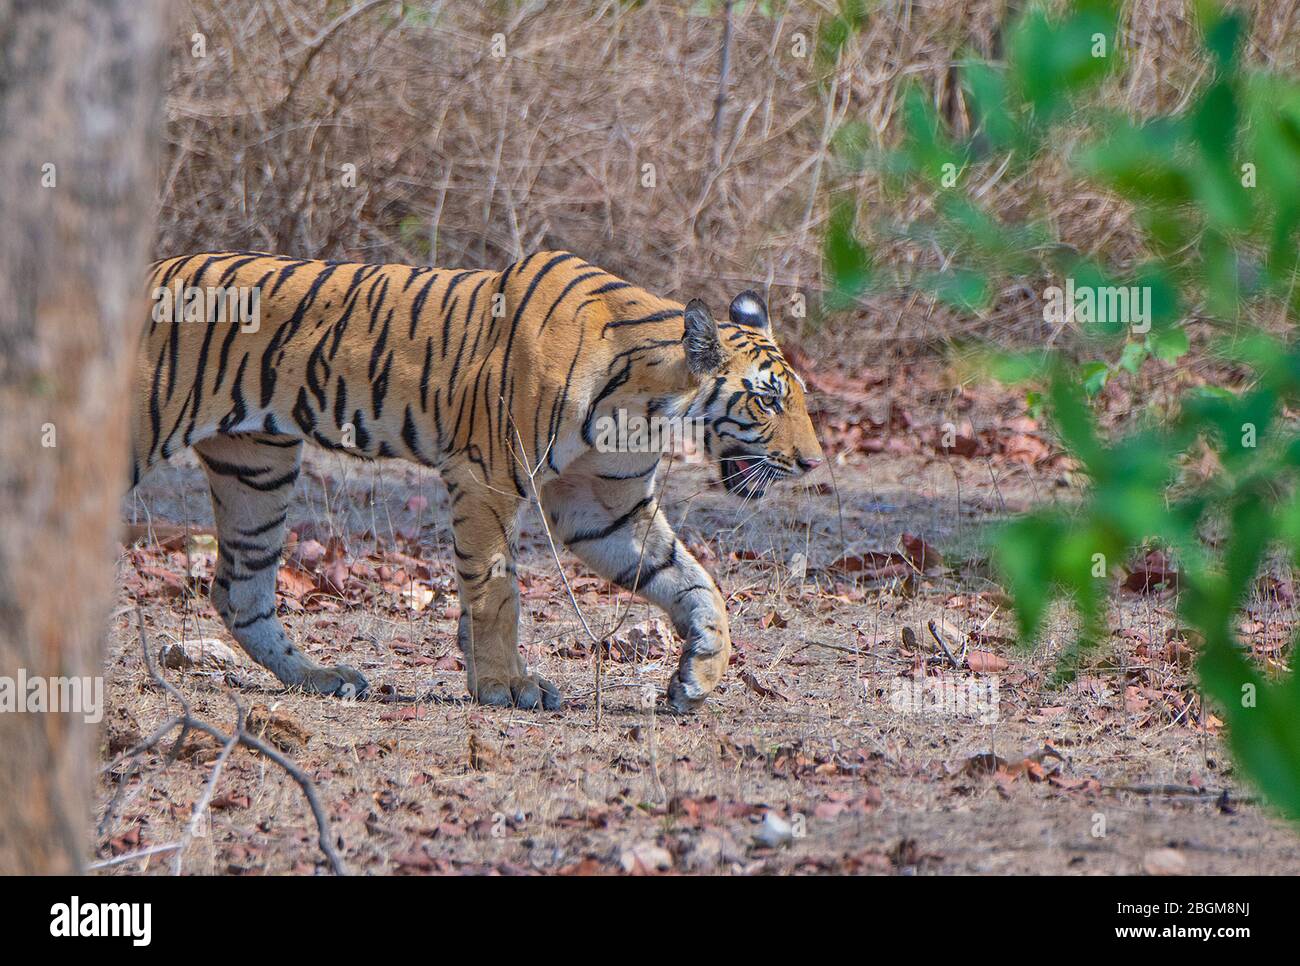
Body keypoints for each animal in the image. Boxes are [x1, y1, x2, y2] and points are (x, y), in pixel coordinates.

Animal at [131, 253, 821, 712]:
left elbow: (693, 582)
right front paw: (504, 685)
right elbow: (496, 590)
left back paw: (324, 678)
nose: (814, 462)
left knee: (239, 592)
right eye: (766, 400)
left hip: (257, 469)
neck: (647, 405)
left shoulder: (605, 507)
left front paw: (699, 673)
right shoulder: (487, 475)